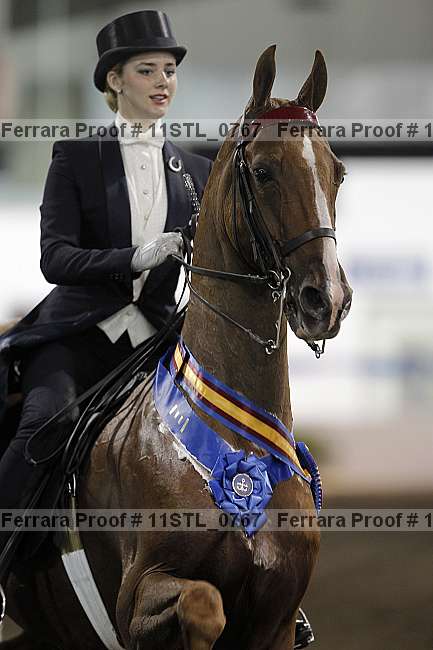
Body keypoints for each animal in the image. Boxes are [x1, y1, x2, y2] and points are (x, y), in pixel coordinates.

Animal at [1, 45, 352, 649]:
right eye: (263, 171)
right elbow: (204, 605)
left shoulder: (279, 621)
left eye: (338, 171)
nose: (324, 302)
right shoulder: (138, 599)